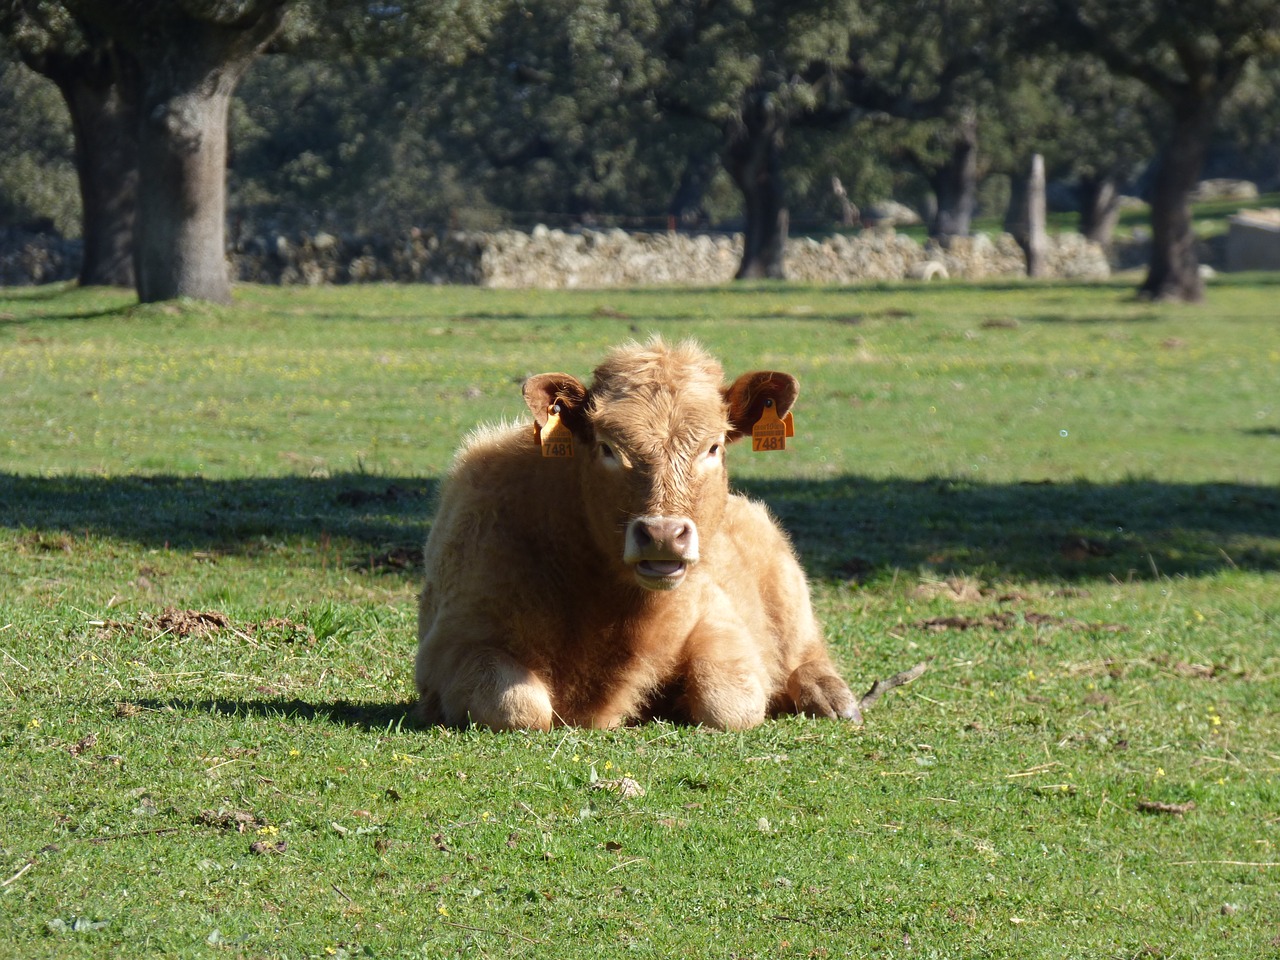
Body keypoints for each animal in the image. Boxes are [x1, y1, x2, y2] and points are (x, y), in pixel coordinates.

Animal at [417, 337, 860, 727]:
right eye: (607, 447)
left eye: (713, 447)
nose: (663, 534)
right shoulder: (451, 647)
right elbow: (516, 705)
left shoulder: (719, 620)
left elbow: (729, 702)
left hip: (788, 589)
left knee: (807, 653)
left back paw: (832, 697)